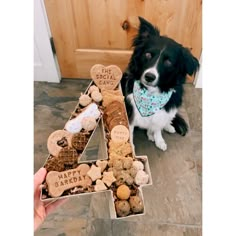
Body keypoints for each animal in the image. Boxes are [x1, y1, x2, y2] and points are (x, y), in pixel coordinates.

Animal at [121, 17, 199, 152]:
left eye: (168, 62)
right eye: (147, 54)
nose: (149, 77)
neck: (151, 94)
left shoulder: (163, 112)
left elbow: (158, 126)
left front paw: (159, 140)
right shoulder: (130, 111)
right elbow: (130, 132)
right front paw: (131, 148)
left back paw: (167, 127)